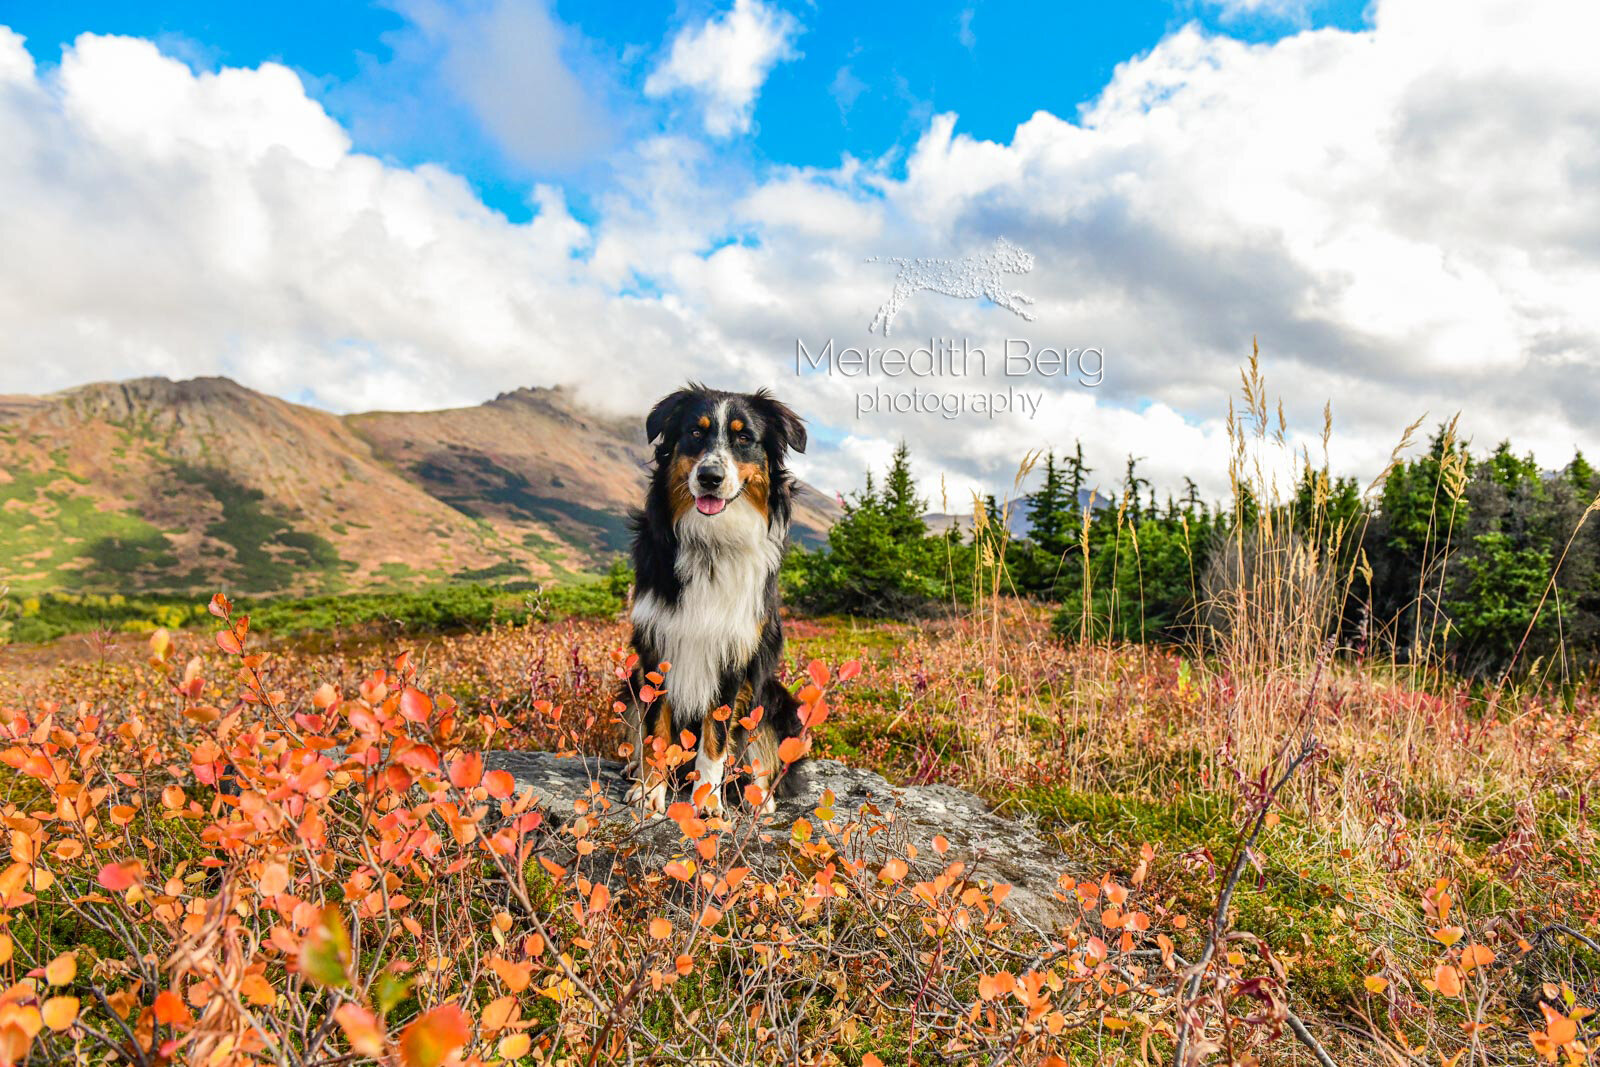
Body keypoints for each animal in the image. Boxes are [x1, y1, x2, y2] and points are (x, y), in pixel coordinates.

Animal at [617, 388, 806, 812]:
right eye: (694, 432)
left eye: (744, 437)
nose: (709, 477)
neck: (712, 544)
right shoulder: (656, 647)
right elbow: (655, 730)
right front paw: (651, 792)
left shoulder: (732, 653)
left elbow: (715, 739)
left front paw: (706, 802)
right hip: (630, 683)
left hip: (777, 700)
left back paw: (759, 796)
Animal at [876, 238, 1036, 337]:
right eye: (1019, 254)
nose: (1031, 263)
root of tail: (906, 261)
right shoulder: (996, 295)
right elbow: (1013, 303)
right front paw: (1028, 314)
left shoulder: (997, 292)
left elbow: (1015, 294)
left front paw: (1028, 300)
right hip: (903, 292)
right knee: (887, 309)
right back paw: (883, 329)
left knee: (886, 308)